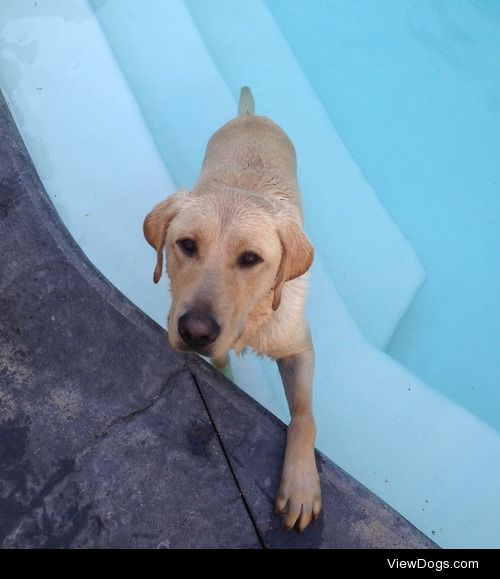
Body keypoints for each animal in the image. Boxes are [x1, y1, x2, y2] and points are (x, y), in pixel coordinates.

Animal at [144, 87, 320, 532]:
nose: (195, 331)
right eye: (186, 245)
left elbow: (305, 416)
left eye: (251, 259)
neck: (253, 318)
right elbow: (223, 363)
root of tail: (250, 116)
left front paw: (302, 484)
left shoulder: (299, 347)